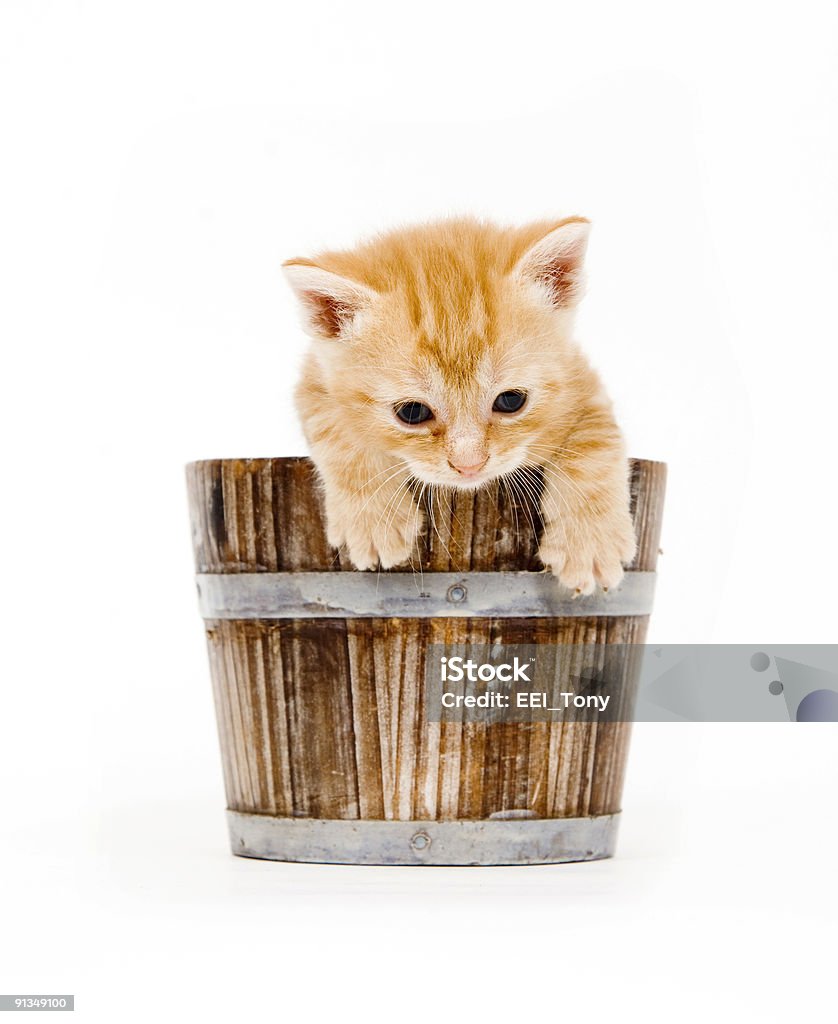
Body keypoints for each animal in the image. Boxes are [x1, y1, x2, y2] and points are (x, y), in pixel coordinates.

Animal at [280, 220, 635, 598]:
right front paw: (373, 520)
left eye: (511, 401)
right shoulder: (316, 378)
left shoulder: (581, 383)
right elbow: (338, 431)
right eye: (412, 412)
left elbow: (595, 444)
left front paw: (591, 542)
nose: (469, 465)